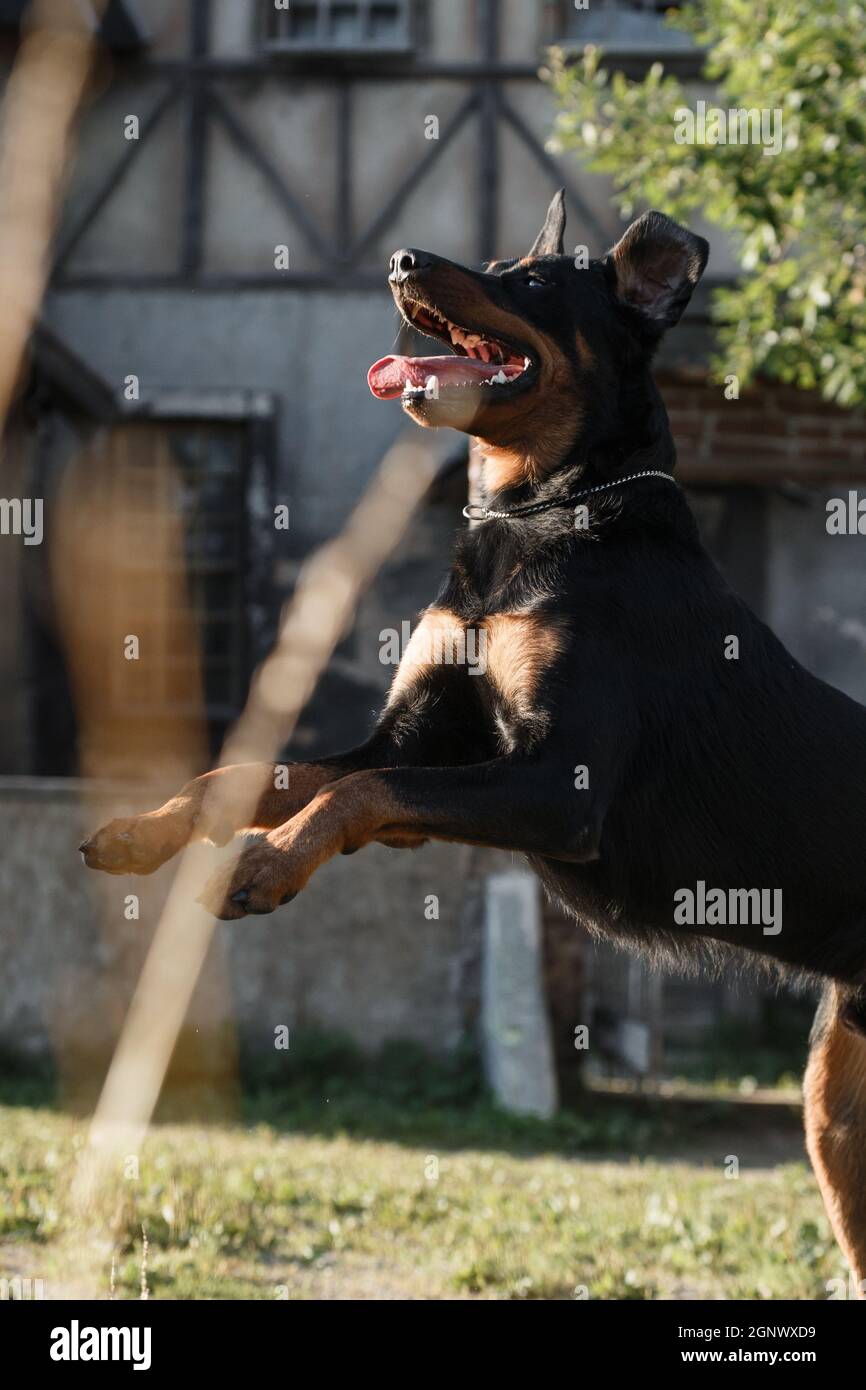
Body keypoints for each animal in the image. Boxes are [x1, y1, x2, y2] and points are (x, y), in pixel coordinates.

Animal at [84, 195, 866, 1289]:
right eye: (495, 262)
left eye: (533, 282)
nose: (402, 258)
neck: (540, 515)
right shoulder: (413, 743)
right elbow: (259, 774)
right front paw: (144, 830)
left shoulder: (552, 789)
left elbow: (348, 797)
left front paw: (267, 864)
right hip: (835, 1104)